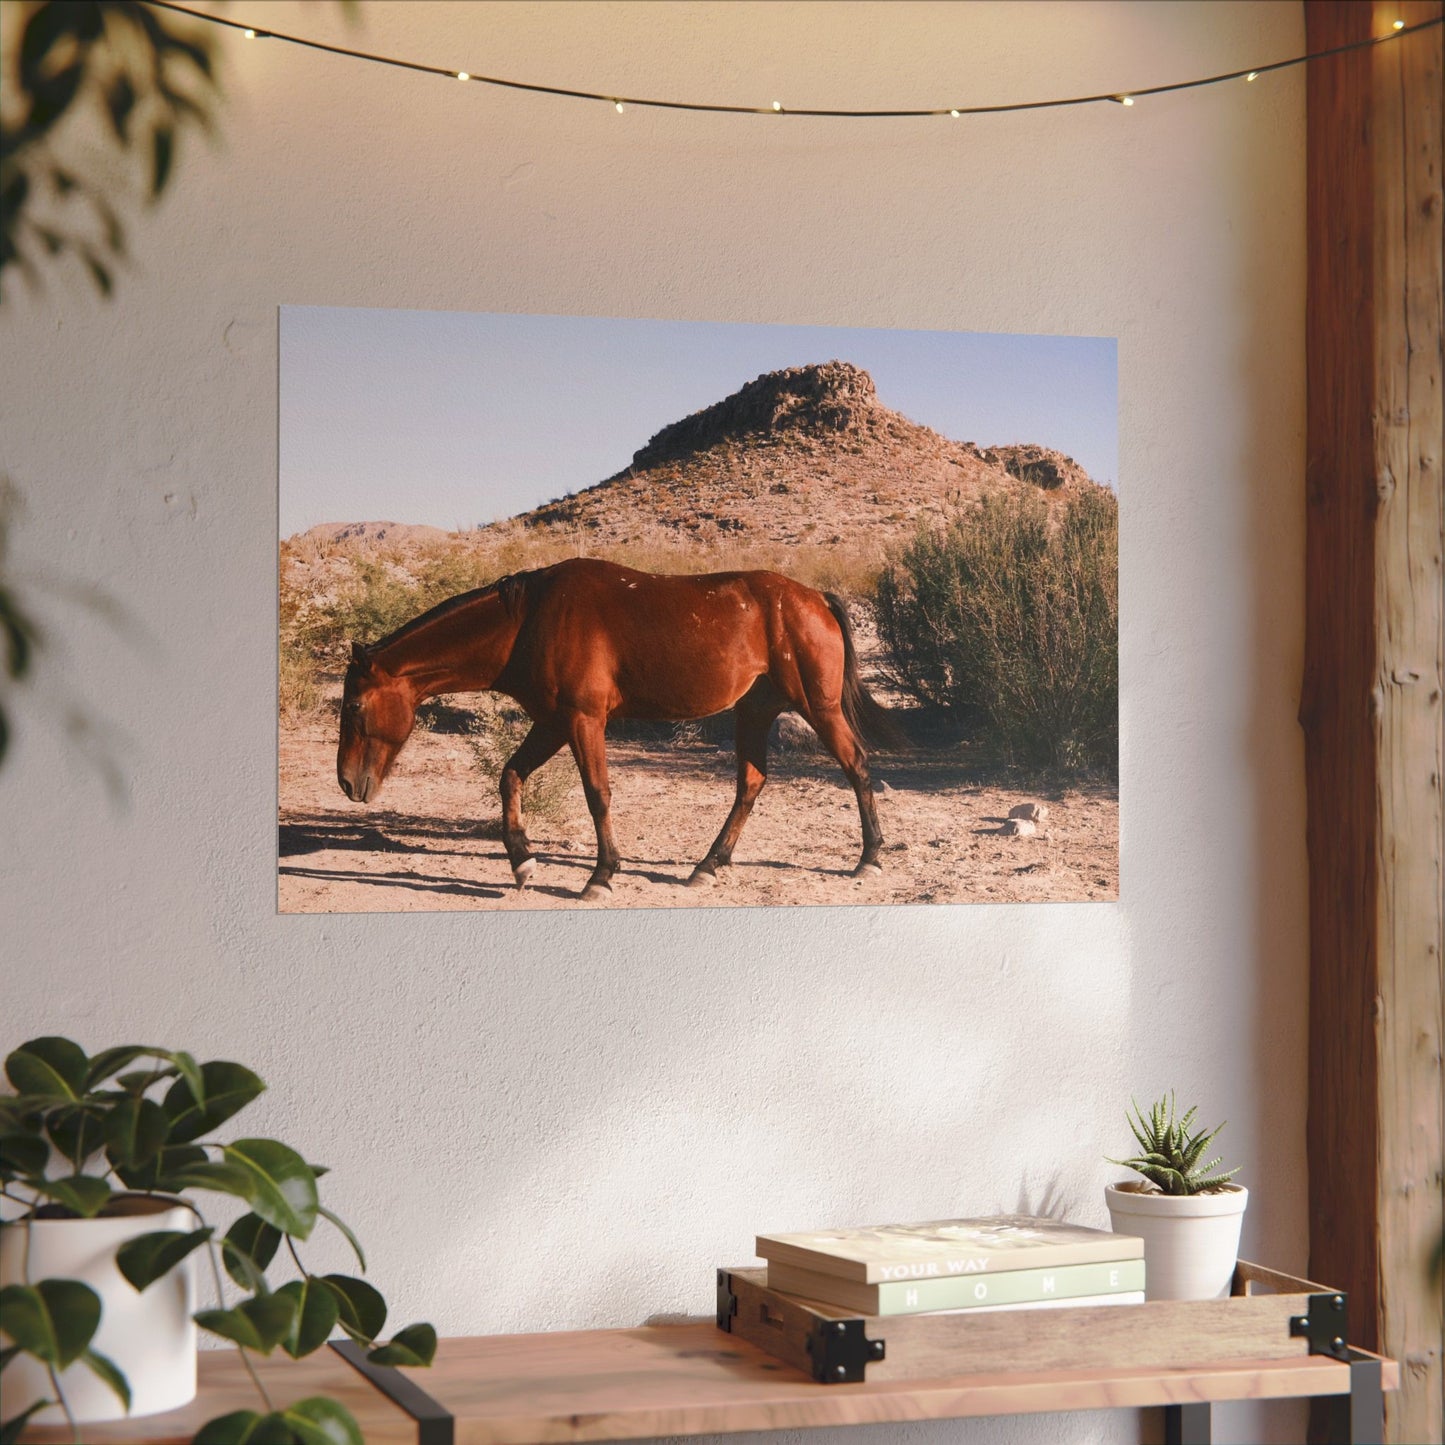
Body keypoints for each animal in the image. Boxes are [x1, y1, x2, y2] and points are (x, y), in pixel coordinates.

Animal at [335, 557, 899, 900]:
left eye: (356, 705)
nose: (347, 782)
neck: (528, 621)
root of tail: (815, 598)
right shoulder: (553, 722)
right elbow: (510, 777)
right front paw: (522, 862)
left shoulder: (582, 721)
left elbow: (597, 793)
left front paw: (601, 875)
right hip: (754, 713)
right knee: (751, 783)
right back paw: (708, 865)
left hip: (818, 708)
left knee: (856, 766)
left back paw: (869, 858)